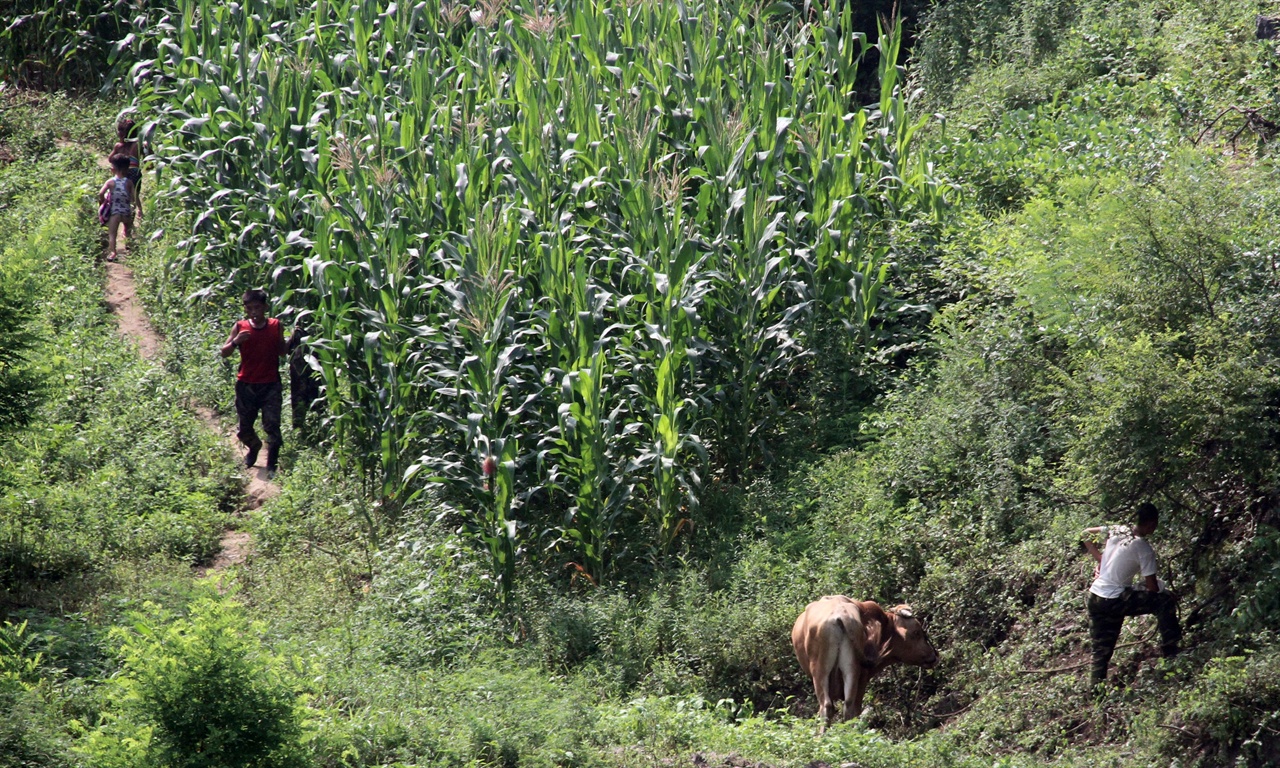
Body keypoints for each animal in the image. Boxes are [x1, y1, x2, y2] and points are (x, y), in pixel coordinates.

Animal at [788, 596, 942, 727]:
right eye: (917, 632)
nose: (934, 655)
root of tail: (841, 616)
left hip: (826, 671)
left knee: (832, 707)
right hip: (845, 670)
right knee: (847, 707)